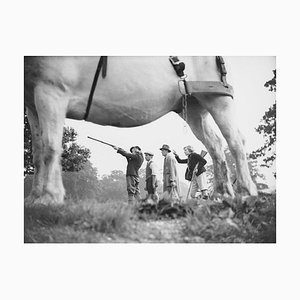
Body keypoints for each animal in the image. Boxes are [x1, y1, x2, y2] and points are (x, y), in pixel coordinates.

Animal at [24, 56, 256, 204]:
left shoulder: (51, 90)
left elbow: (50, 148)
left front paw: (49, 197)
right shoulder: (32, 102)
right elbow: (37, 152)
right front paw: (34, 198)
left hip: (217, 98)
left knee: (235, 140)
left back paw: (245, 191)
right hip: (194, 107)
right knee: (214, 144)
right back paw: (222, 193)